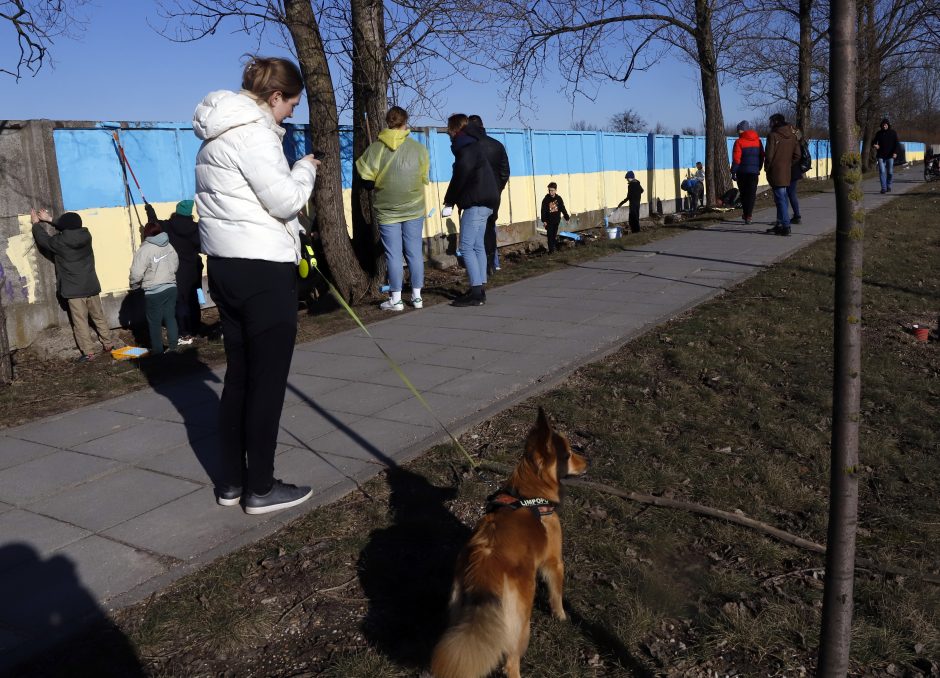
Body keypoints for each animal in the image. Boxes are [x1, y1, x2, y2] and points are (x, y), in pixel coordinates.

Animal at [432, 410, 588, 678]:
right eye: (568, 455)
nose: (587, 462)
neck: (529, 493)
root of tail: (483, 568)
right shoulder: (554, 562)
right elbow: (556, 595)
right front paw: (561, 616)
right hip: (520, 623)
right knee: (510, 662)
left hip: (458, 612)